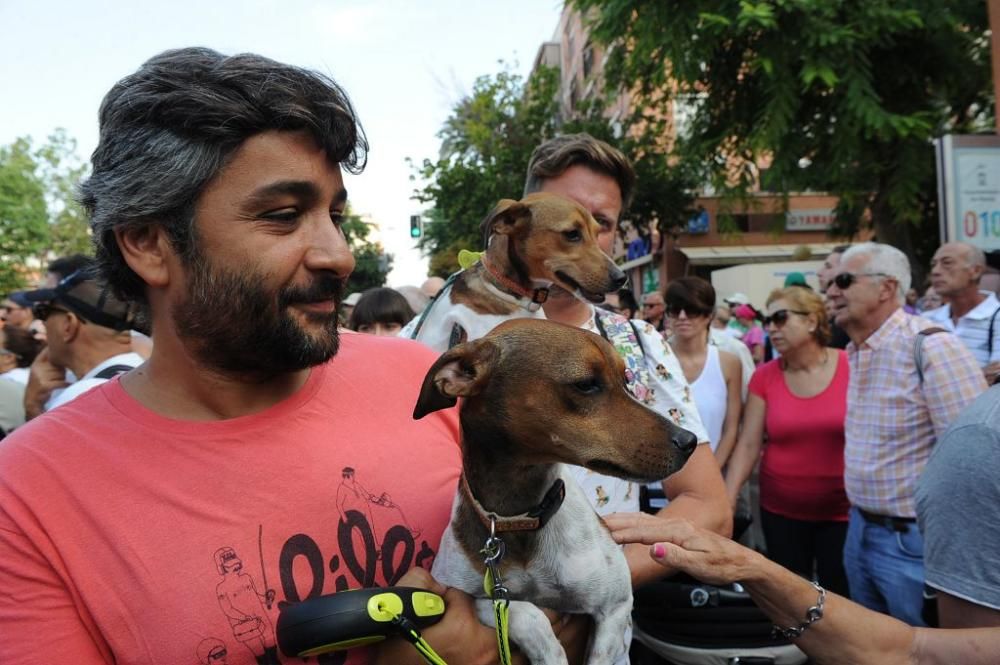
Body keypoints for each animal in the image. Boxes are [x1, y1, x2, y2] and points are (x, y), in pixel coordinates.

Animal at [414, 320, 696, 660]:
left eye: (627, 380)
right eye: (586, 384)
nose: (690, 441)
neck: (519, 519)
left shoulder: (616, 605)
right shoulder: (475, 597)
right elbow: (527, 614)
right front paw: (548, 651)